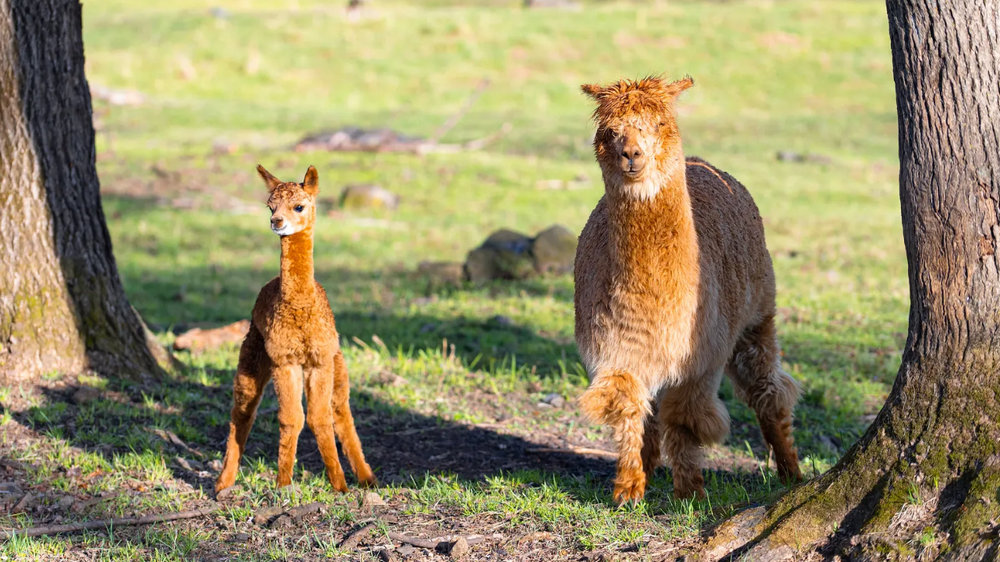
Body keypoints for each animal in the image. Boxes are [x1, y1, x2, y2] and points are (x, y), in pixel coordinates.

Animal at [215, 165, 376, 494]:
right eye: (270, 205)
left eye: (299, 206)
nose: (277, 222)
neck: (300, 307)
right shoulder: (284, 360)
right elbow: (291, 418)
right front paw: (283, 483)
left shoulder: (320, 359)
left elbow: (320, 418)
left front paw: (339, 485)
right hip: (253, 351)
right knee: (242, 411)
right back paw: (223, 482)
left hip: (337, 360)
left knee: (342, 411)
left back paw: (368, 478)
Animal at [574, 76, 802, 503]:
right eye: (610, 130)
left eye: (660, 123)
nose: (631, 154)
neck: (655, 303)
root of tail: (702, 162)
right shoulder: (617, 350)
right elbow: (628, 409)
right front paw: (628, 489)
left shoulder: (701, 359)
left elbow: (685, 420)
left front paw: (691, 492)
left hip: (758, 313)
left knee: (769, 390)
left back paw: (792, 472)